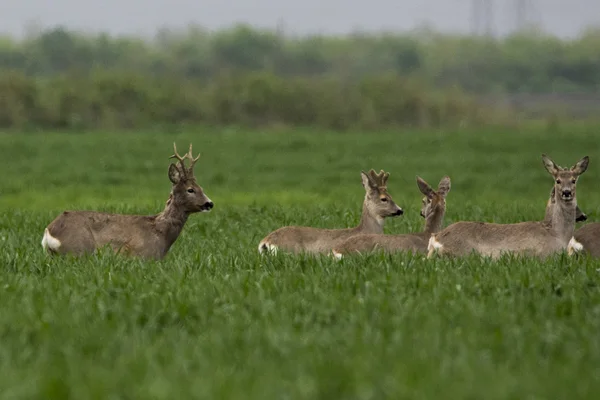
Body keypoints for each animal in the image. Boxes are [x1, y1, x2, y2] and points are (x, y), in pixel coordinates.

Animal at [40, 143, 213, 260]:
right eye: (190, 189)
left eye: (201, 187)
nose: (209, 203)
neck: (161, 232)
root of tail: (50, 231)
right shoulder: (143, 256)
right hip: (78, 250)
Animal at [426, 153, 592, 260]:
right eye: (558, 180)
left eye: (573, 180)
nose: (566, 192)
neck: (557, 233)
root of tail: (436, 238)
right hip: (462, 253)